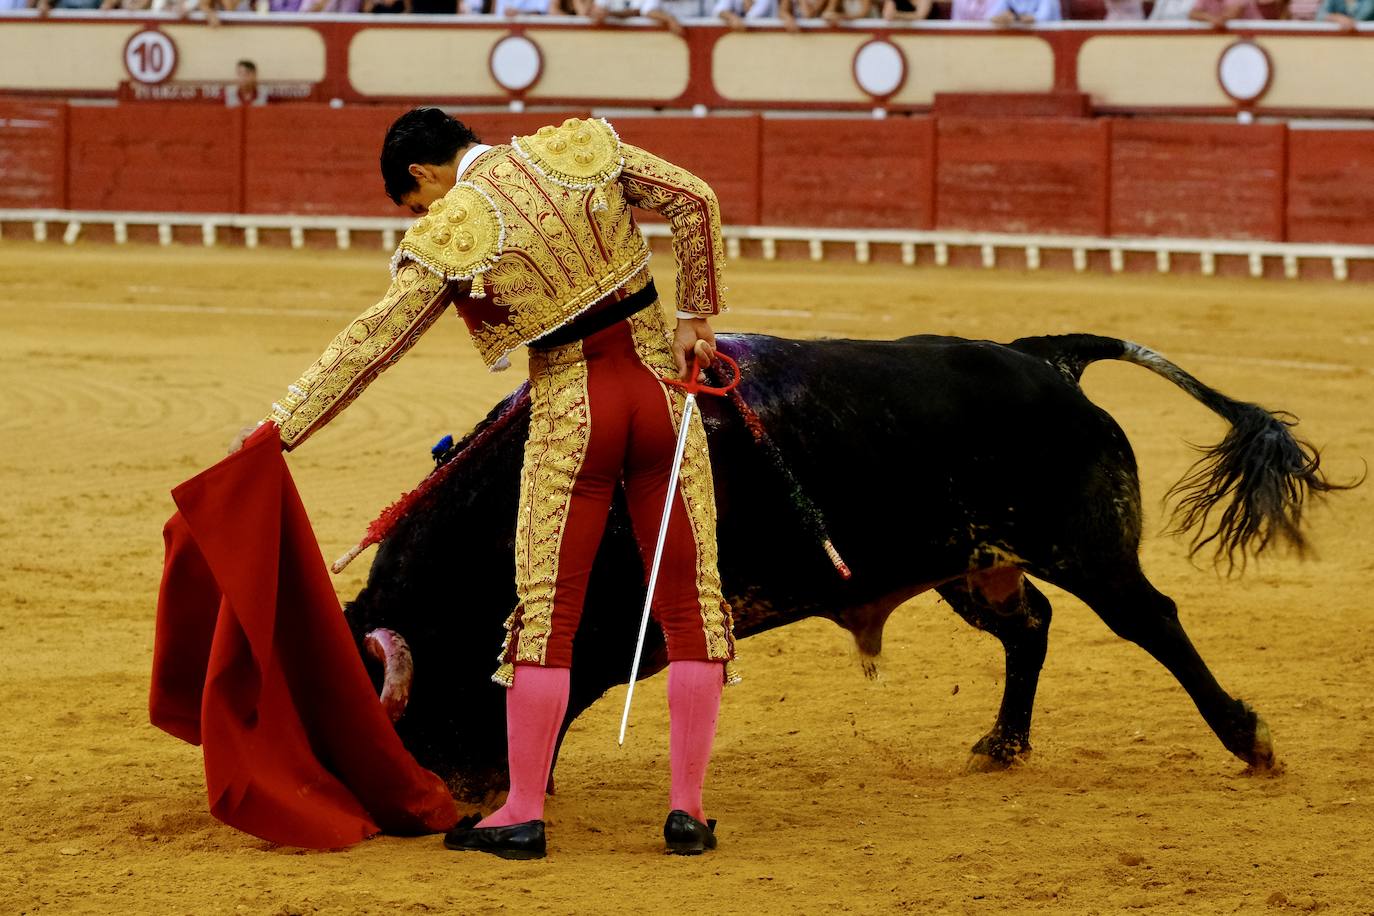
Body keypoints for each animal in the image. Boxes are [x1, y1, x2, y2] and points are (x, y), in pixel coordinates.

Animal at [340, 333, 1341, 796]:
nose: (443, 796)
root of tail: (1044, 358)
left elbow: (550, 681)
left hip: (1084, 544)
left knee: (1153, 620)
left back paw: (1249, 741)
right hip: (973, 562)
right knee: (1031, 628)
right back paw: (1001, 745)